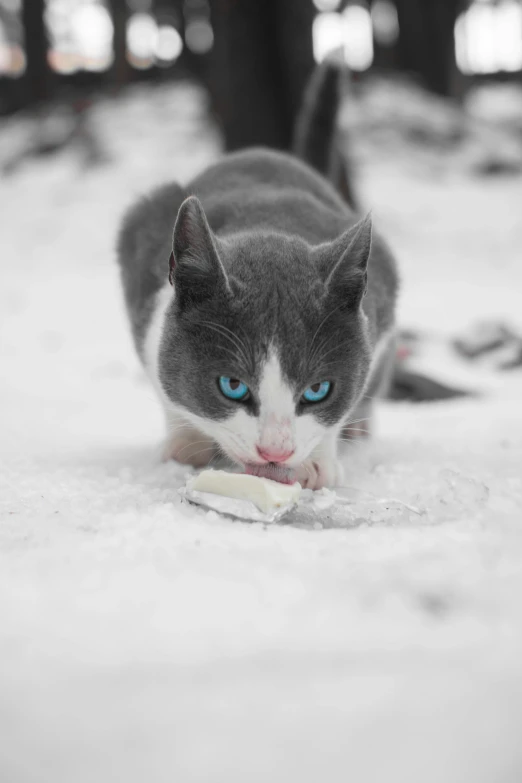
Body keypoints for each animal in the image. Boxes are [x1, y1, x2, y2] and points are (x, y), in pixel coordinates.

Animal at [116, 62, 396, 490]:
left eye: (318, 390)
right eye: (233, 386)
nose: (274, 451)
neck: (268, 226)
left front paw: (319, 460)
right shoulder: (140, 256)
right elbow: (162, 379)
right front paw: (186, 442)